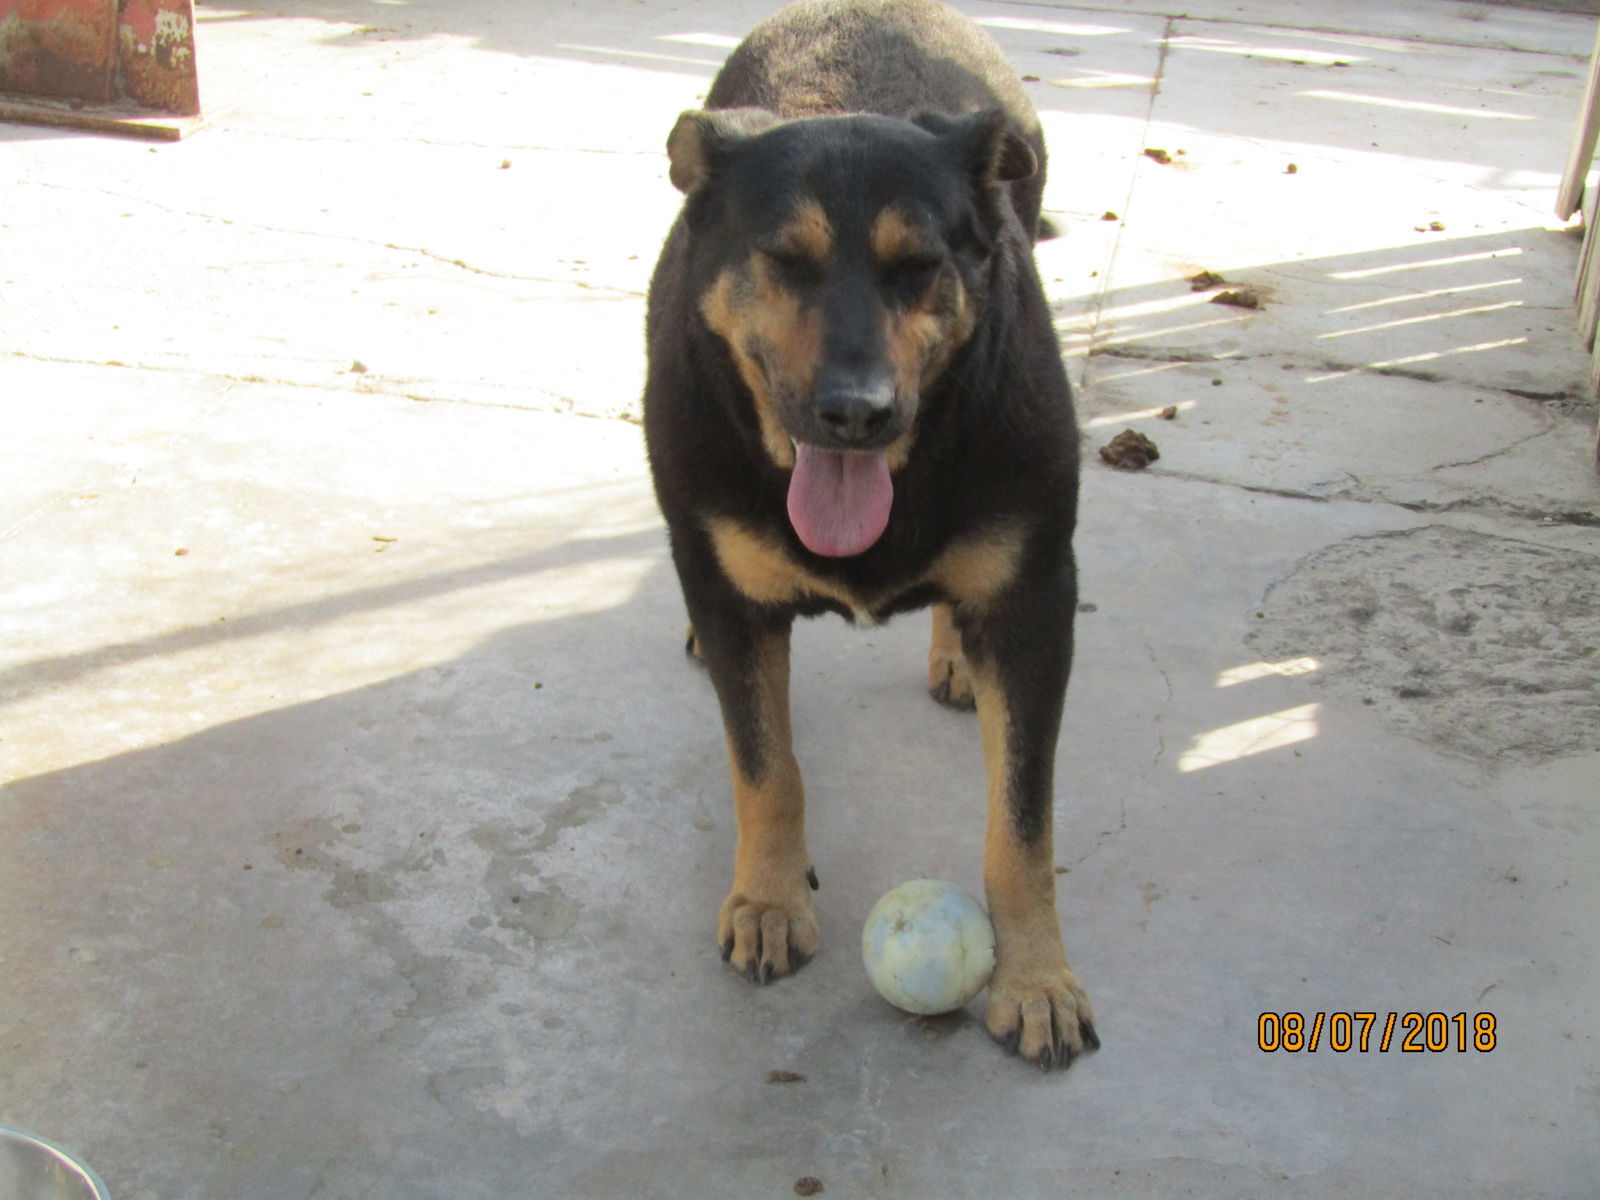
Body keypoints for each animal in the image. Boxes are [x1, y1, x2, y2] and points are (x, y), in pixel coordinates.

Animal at [643, 0, 1094, 1068]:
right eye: (784, 260)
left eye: (919, 266)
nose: (857, 413)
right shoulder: (728, 595)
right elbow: (764, 762)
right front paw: (768, 899)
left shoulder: (1038, 602)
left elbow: (1023, 822)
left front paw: (1037, 976)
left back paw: (956, 656)